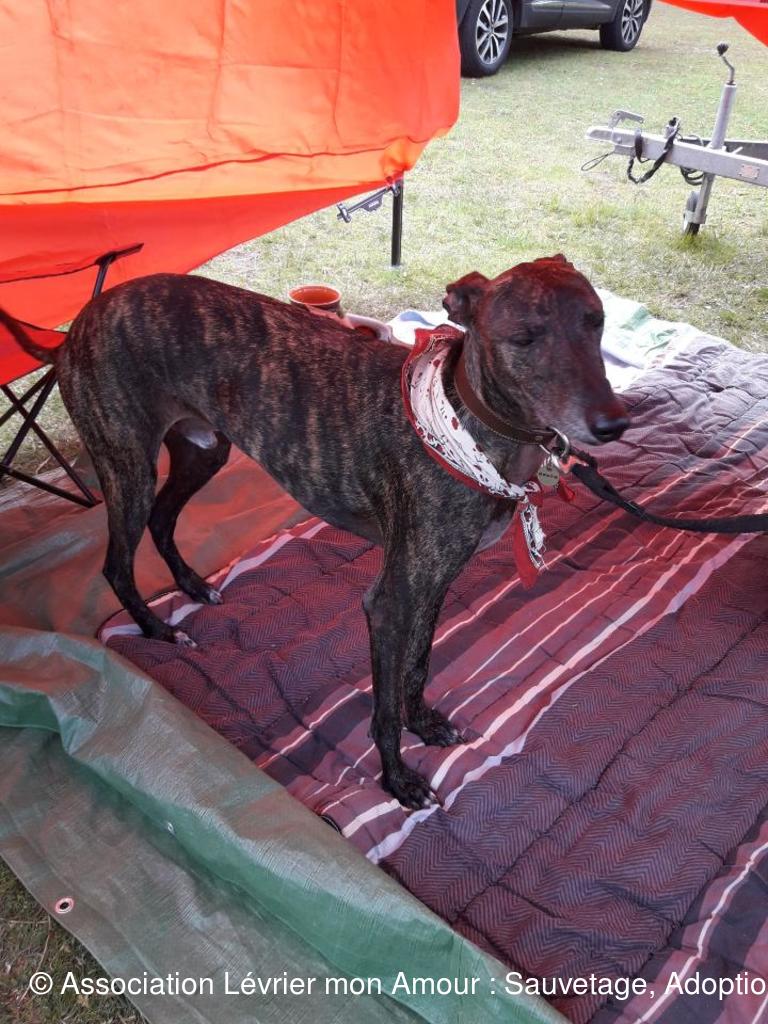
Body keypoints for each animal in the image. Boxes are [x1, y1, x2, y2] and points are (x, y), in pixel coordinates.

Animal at [1, 256, 628, 808]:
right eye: (524, 337)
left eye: (596, 320)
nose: (613, 425)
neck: (468, 422)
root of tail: (77, 327)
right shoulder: (392, 599)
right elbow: (383, 709)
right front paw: (399, 781)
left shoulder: (433, 582)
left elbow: (418, 665)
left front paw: (425, 723)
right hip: (126, 465)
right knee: (116, 561)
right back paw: (158, 630)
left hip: (202, 449)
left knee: (162, 518)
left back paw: (194, 587)